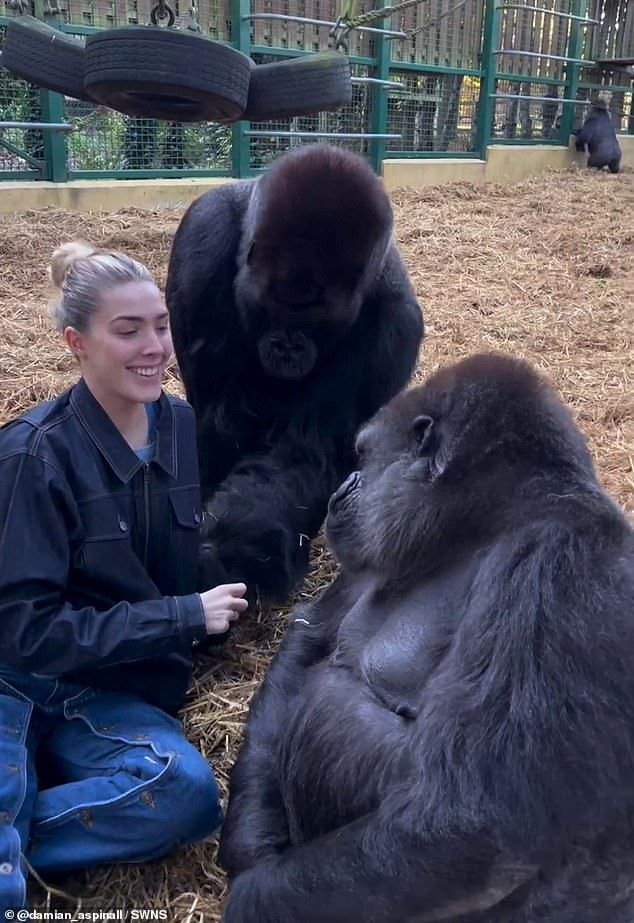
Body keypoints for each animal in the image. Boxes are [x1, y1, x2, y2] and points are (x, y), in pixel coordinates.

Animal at [165, 144, 422, 604]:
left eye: (317, 321)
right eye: (275, 306)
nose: (288, 346)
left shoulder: (396, 326)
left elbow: (305, 451)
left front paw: (228, 552)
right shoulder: (201, 244)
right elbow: (214, 416)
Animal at [216, 352, 632, 923]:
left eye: (363, 454)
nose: (343, 487)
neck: (480, 523)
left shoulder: (560, 563)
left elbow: (475, 820)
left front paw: (254, 899)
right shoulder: (381, 547)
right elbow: (309, 641)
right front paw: (252, 839)